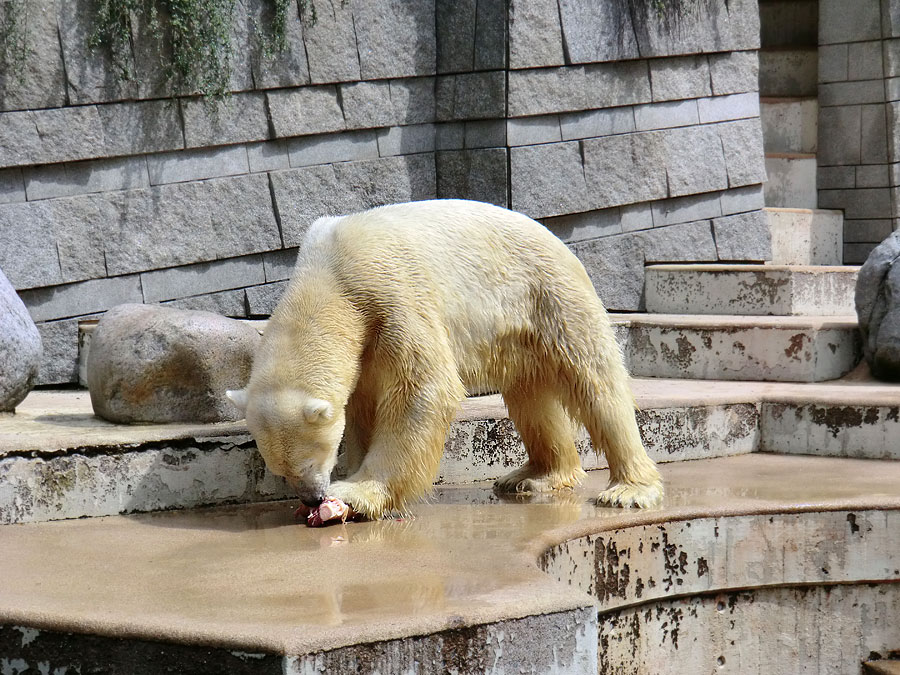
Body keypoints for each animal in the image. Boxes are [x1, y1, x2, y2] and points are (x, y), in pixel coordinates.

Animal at [225, 198, 660, 520]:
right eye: (281, 471)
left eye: (310, 462)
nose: (313, 499)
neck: (327, 275)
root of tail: (555, 237)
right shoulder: (363, 344)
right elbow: (363, 406)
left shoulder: (391, 295)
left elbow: (423, 389)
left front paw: (356, 492)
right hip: (518, 333)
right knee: (529, 398)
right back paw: (533, 476)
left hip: (549, 297)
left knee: (596, 385)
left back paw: (627, 490)